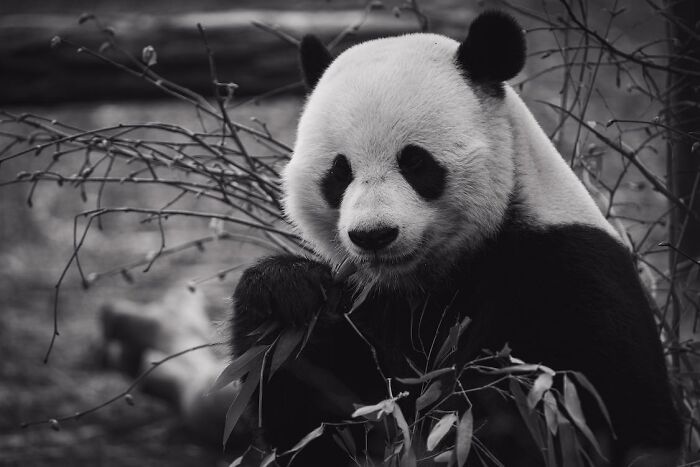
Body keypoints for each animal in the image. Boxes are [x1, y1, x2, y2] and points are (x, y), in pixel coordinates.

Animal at [231, 10, 682, 466]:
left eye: (415, 162)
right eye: (339, 172)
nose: (373, 235)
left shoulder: (570, 274)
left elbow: (593, 416)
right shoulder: (371, 302)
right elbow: (319, 421)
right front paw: (285, 291)